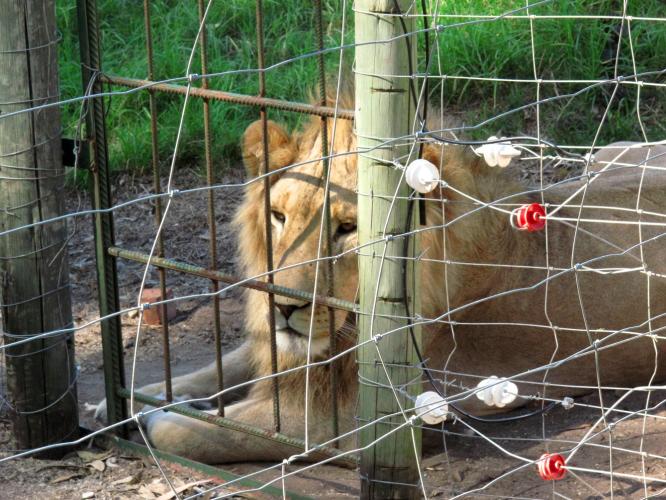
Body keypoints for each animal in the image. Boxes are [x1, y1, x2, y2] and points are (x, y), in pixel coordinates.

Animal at [94, 91, 664, 464]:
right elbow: (213, 368)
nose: (284, 307)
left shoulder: (357, 424)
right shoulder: (285, 349)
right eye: (279, 216)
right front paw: (122, 400)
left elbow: (193, 431)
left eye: (348, 228)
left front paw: (160, 416)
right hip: (608, 154)